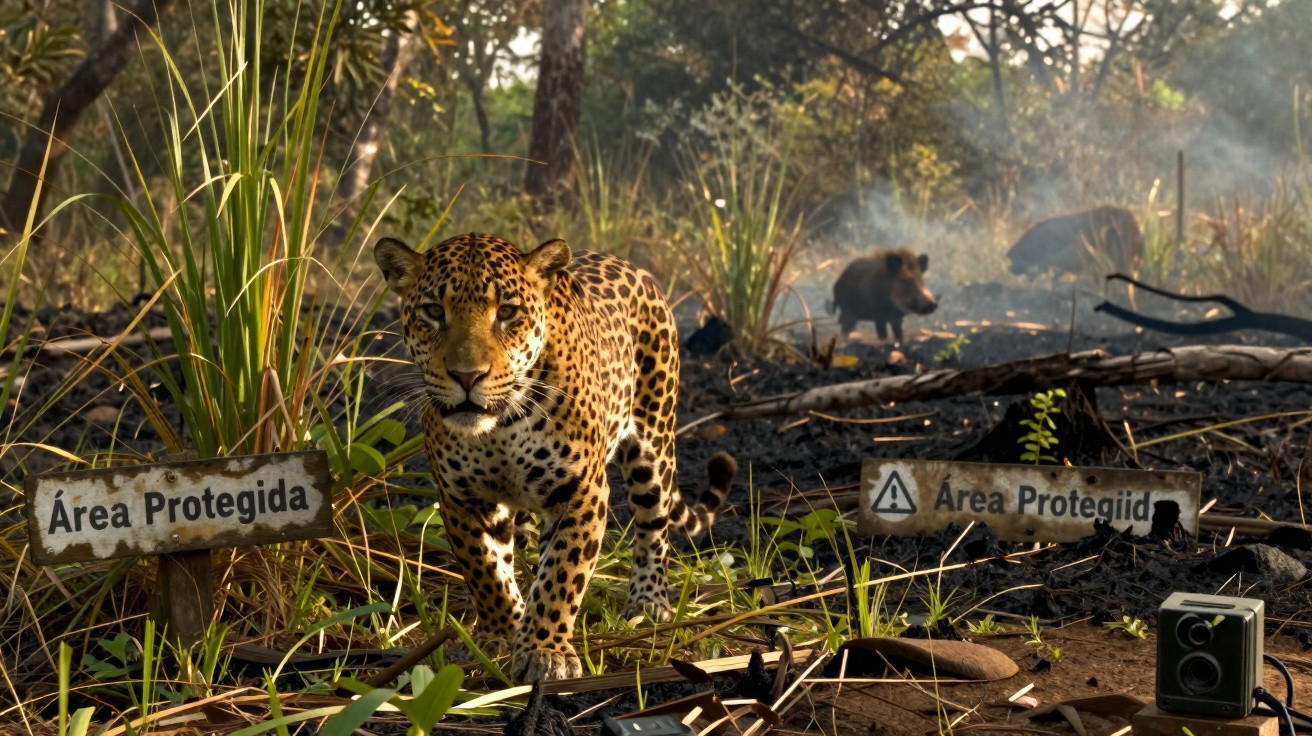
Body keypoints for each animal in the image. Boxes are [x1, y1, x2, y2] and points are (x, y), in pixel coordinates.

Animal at [374, 232, 737, 683]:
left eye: (507, 312)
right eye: (433, 312)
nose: (467, 376)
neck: (500, 428)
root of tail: (633, 266)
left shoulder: (581, 493)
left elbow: (561, 575)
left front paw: (544, 652)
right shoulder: (461, 498)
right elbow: (486, 570)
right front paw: (501, 632)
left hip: (654, 441)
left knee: (654, 527)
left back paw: (648, 604)